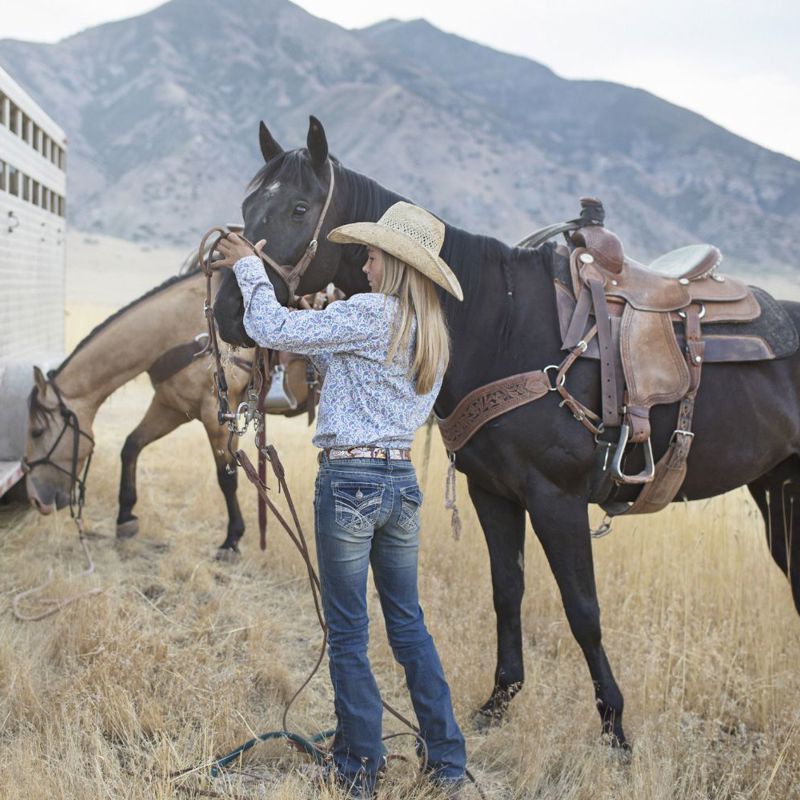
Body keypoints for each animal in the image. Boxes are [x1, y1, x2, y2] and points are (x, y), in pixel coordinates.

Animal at [24, 267, 321, 555]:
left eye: (37, 431)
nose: (36, 500)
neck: (183, 331)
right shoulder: (170, 407)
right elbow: (131, 446)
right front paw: (125, 518)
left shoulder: (216, 416)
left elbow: (227, 477)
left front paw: (231, 539)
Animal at [212, 117, 800, 746]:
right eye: (248, 205)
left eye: (299, 208)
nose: (228, 313)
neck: (500, 321)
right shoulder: (493, 493)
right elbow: (507, 591)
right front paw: (499, 701)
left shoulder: (556, 498)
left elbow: (582, 609)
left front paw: (614, 726)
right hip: (777, 492)